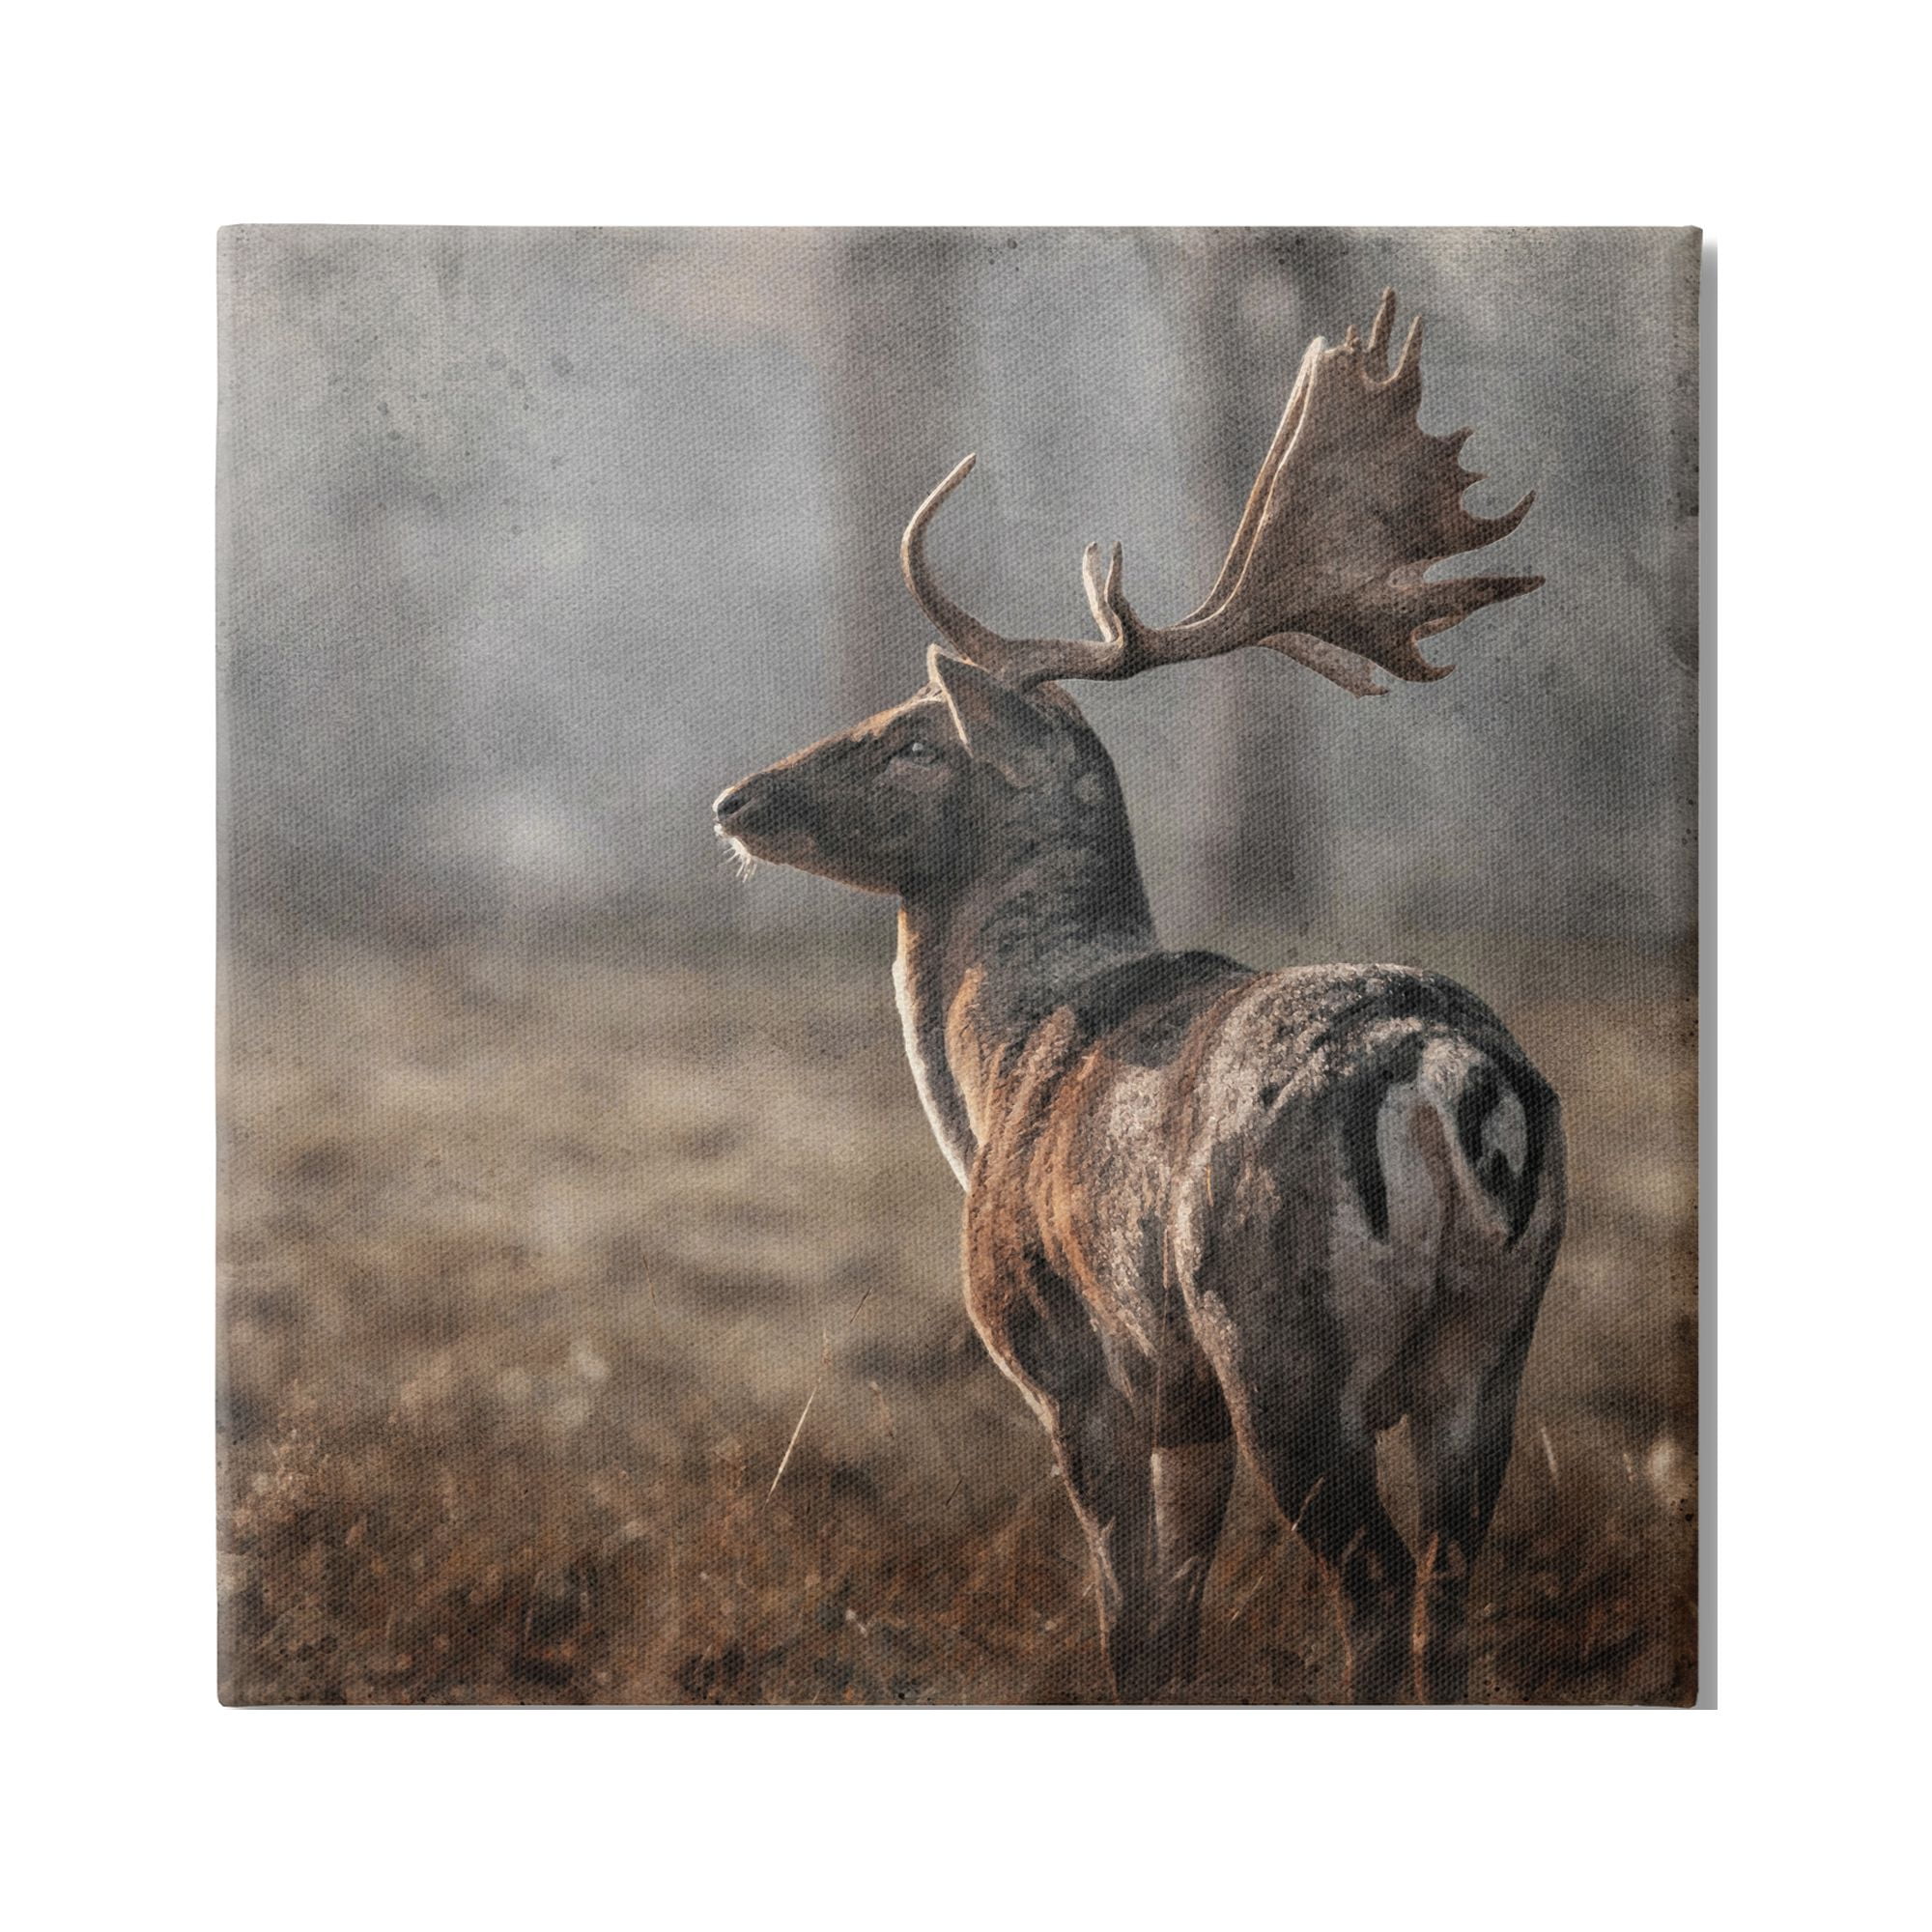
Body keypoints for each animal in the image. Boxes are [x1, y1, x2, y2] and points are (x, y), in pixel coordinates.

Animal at [711, 291, 1565, 1704]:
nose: (737, 798)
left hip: (1281, 1343)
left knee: (1375, 1578)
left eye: (914, 737)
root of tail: (1454, 1080)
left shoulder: (1075, 1362)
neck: (998, 1069)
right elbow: (1179, 1617)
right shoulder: (1185, 1405)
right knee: (1450, 1586)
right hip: (1490, 1348)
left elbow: (1130, 1622)